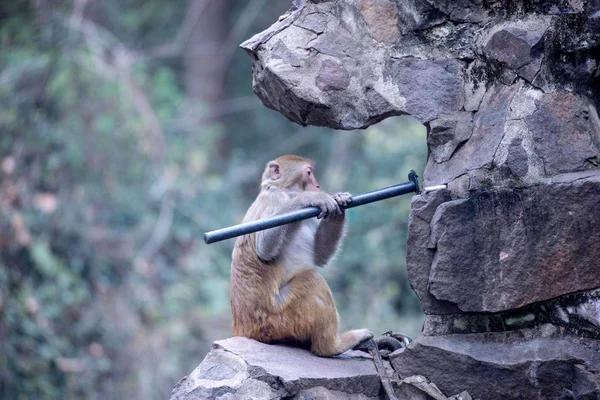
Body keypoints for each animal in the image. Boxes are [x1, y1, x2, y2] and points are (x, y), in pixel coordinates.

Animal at [229, 154, 372, 356]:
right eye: (309, 173)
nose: (317, 186)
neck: (284, 190)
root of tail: (244, 329)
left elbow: (320, 256)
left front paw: (339, 202)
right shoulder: (275, 200)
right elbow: (264, 249)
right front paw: (308, 197)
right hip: (279, 316)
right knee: (312, 281)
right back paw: (331, 347)